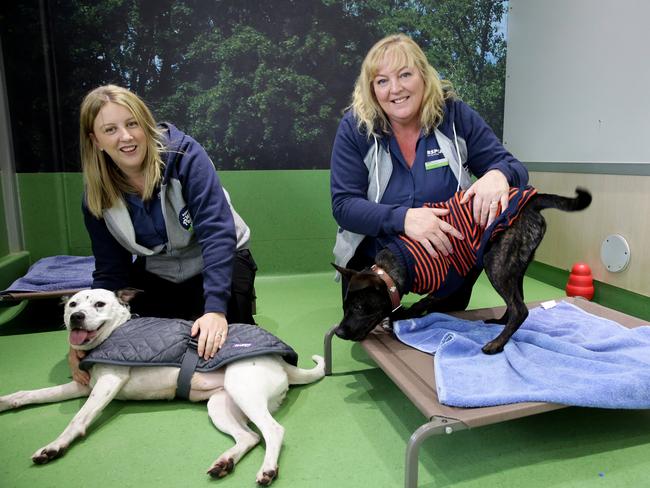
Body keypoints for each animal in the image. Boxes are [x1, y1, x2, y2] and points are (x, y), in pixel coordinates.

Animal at [0, 290, 324, 484]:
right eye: (72, 304)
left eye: (99, 304)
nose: (75, 317)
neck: (114, 332)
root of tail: (282, 363)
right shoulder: (85, 386)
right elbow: (34, 394)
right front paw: (7, 400)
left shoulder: (108, 383)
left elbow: (78, 419)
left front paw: (54, 446)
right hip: (220, 405)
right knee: (250, 437)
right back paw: (224, 462)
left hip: (242, 389)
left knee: (273, 431)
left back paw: (267, 469)